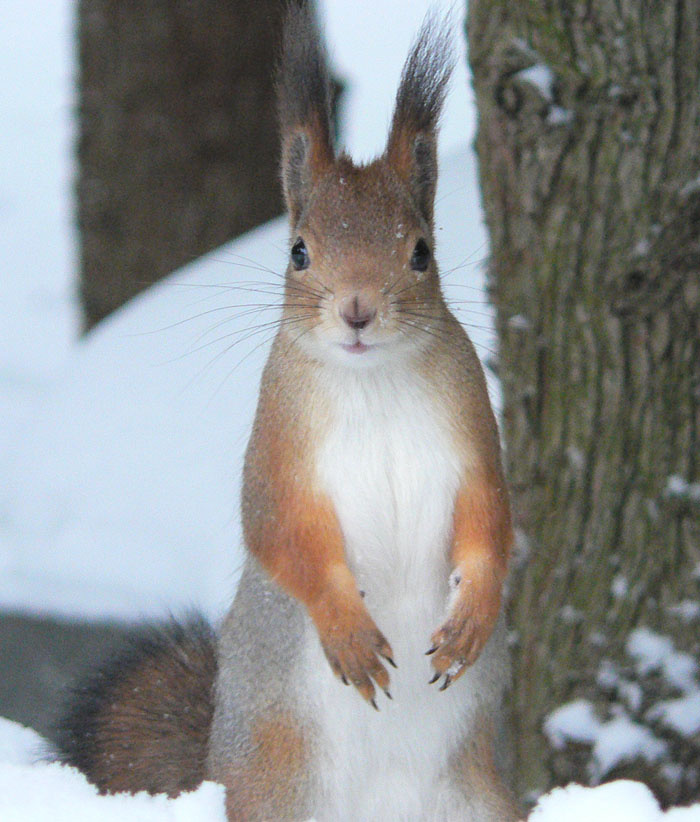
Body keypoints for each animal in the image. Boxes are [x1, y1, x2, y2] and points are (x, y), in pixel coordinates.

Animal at [56, 6, 518, 821]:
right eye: (298, 252)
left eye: (422, 253)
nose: (357, 310)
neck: (373, 381)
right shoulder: (278, 447)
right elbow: (282, 530)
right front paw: (349, 634)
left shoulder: (473, 438)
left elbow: (491, 520)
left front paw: (472, 622)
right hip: (277, 787)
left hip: (480, 799)